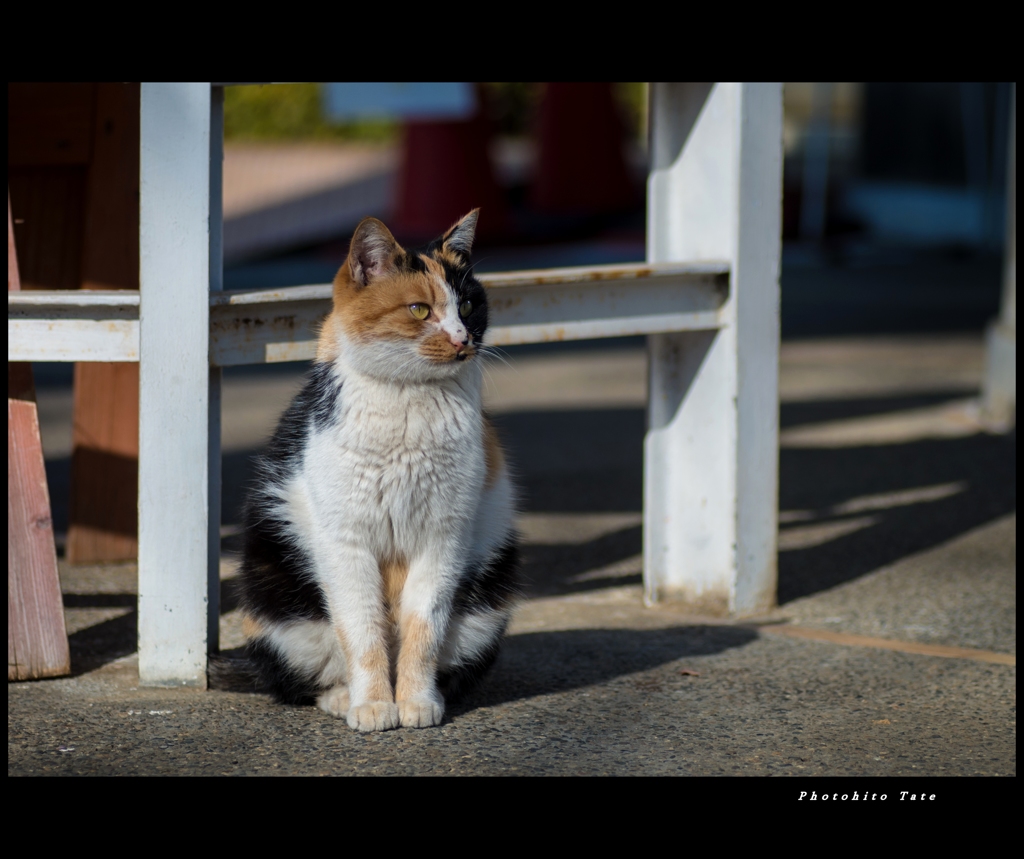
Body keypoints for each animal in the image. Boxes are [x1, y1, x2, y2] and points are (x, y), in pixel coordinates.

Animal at [235, 209, 516, 733]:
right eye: (420, 310)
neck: (408, 402)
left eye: (469, 304)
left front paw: (416, 702)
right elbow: (363, 630)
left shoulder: (444, 537)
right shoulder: (345, 541)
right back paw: (342, 697)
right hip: (278, 605)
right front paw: (372, 705)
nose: (463, 339)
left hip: (487, 605)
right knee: (300, 679)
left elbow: (422, 628)